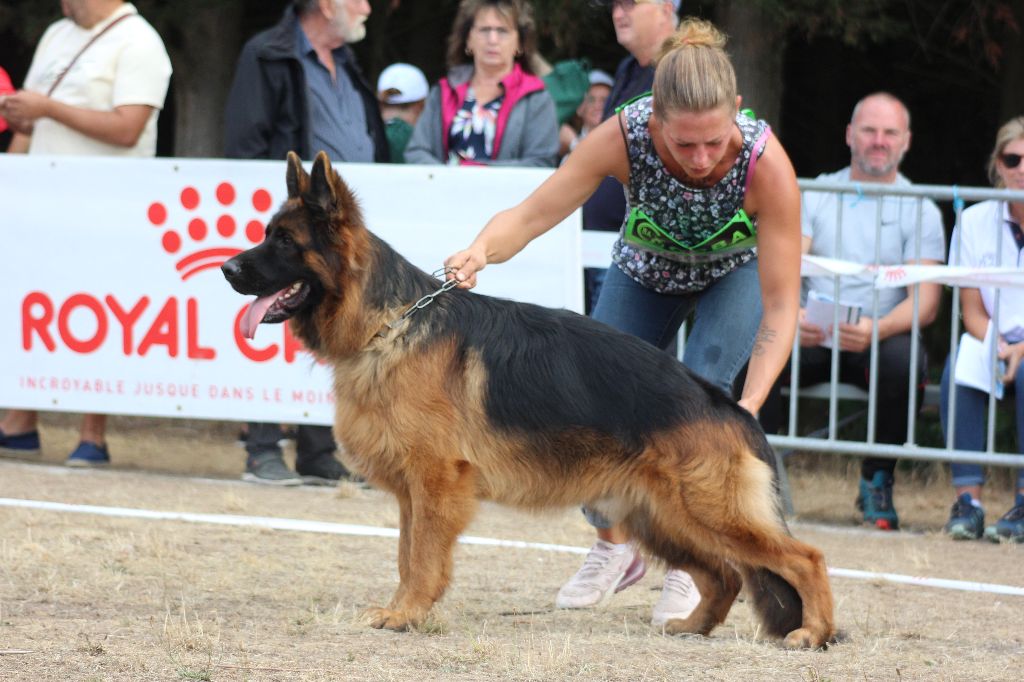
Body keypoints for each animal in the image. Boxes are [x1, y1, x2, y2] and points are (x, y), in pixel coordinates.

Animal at [222, 151, 831, 647]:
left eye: (284, 241)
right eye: (267, 233)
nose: (226, 268)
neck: (389, 324)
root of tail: (731, 407)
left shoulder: (435, 484)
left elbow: (421, 559)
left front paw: (408, 615)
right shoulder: (412, 494)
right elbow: (404, 556)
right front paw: (403, 610)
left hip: (708, 513)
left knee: (805, 558)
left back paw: (814, 633)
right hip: (664, 519)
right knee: (726, 574)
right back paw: (694, 627)